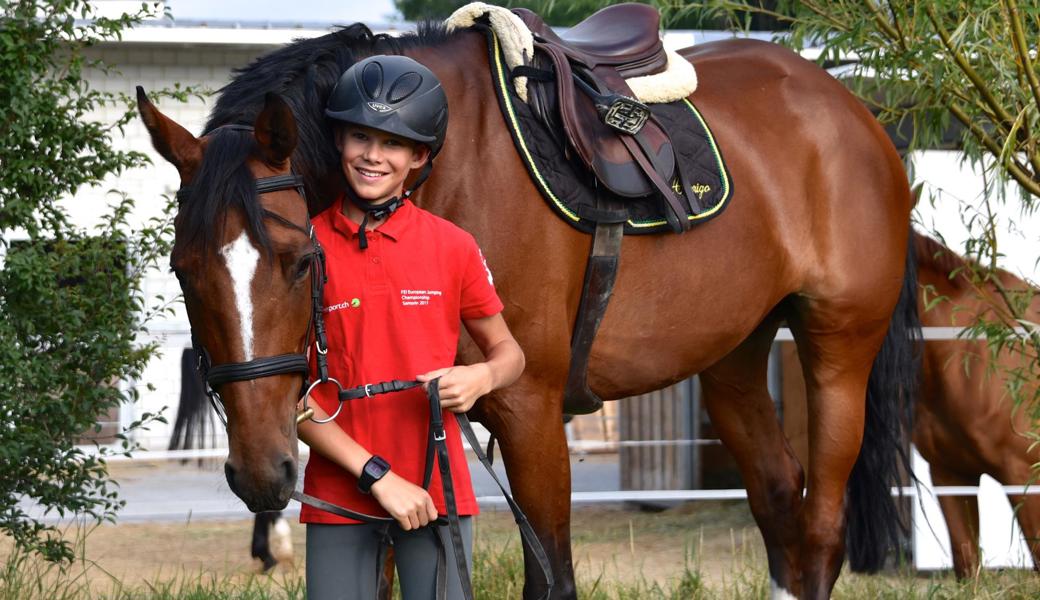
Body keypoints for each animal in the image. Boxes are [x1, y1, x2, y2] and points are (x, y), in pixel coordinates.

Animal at [138, 18, 919, 598]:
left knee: (819, 531)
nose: (261, 473)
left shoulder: (530, 411)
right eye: (183, 270)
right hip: (733, 356)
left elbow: (551, 578)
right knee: (779, 504)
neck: (440, 168)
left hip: (838, 350)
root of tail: (853, 112)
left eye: (300, 262)